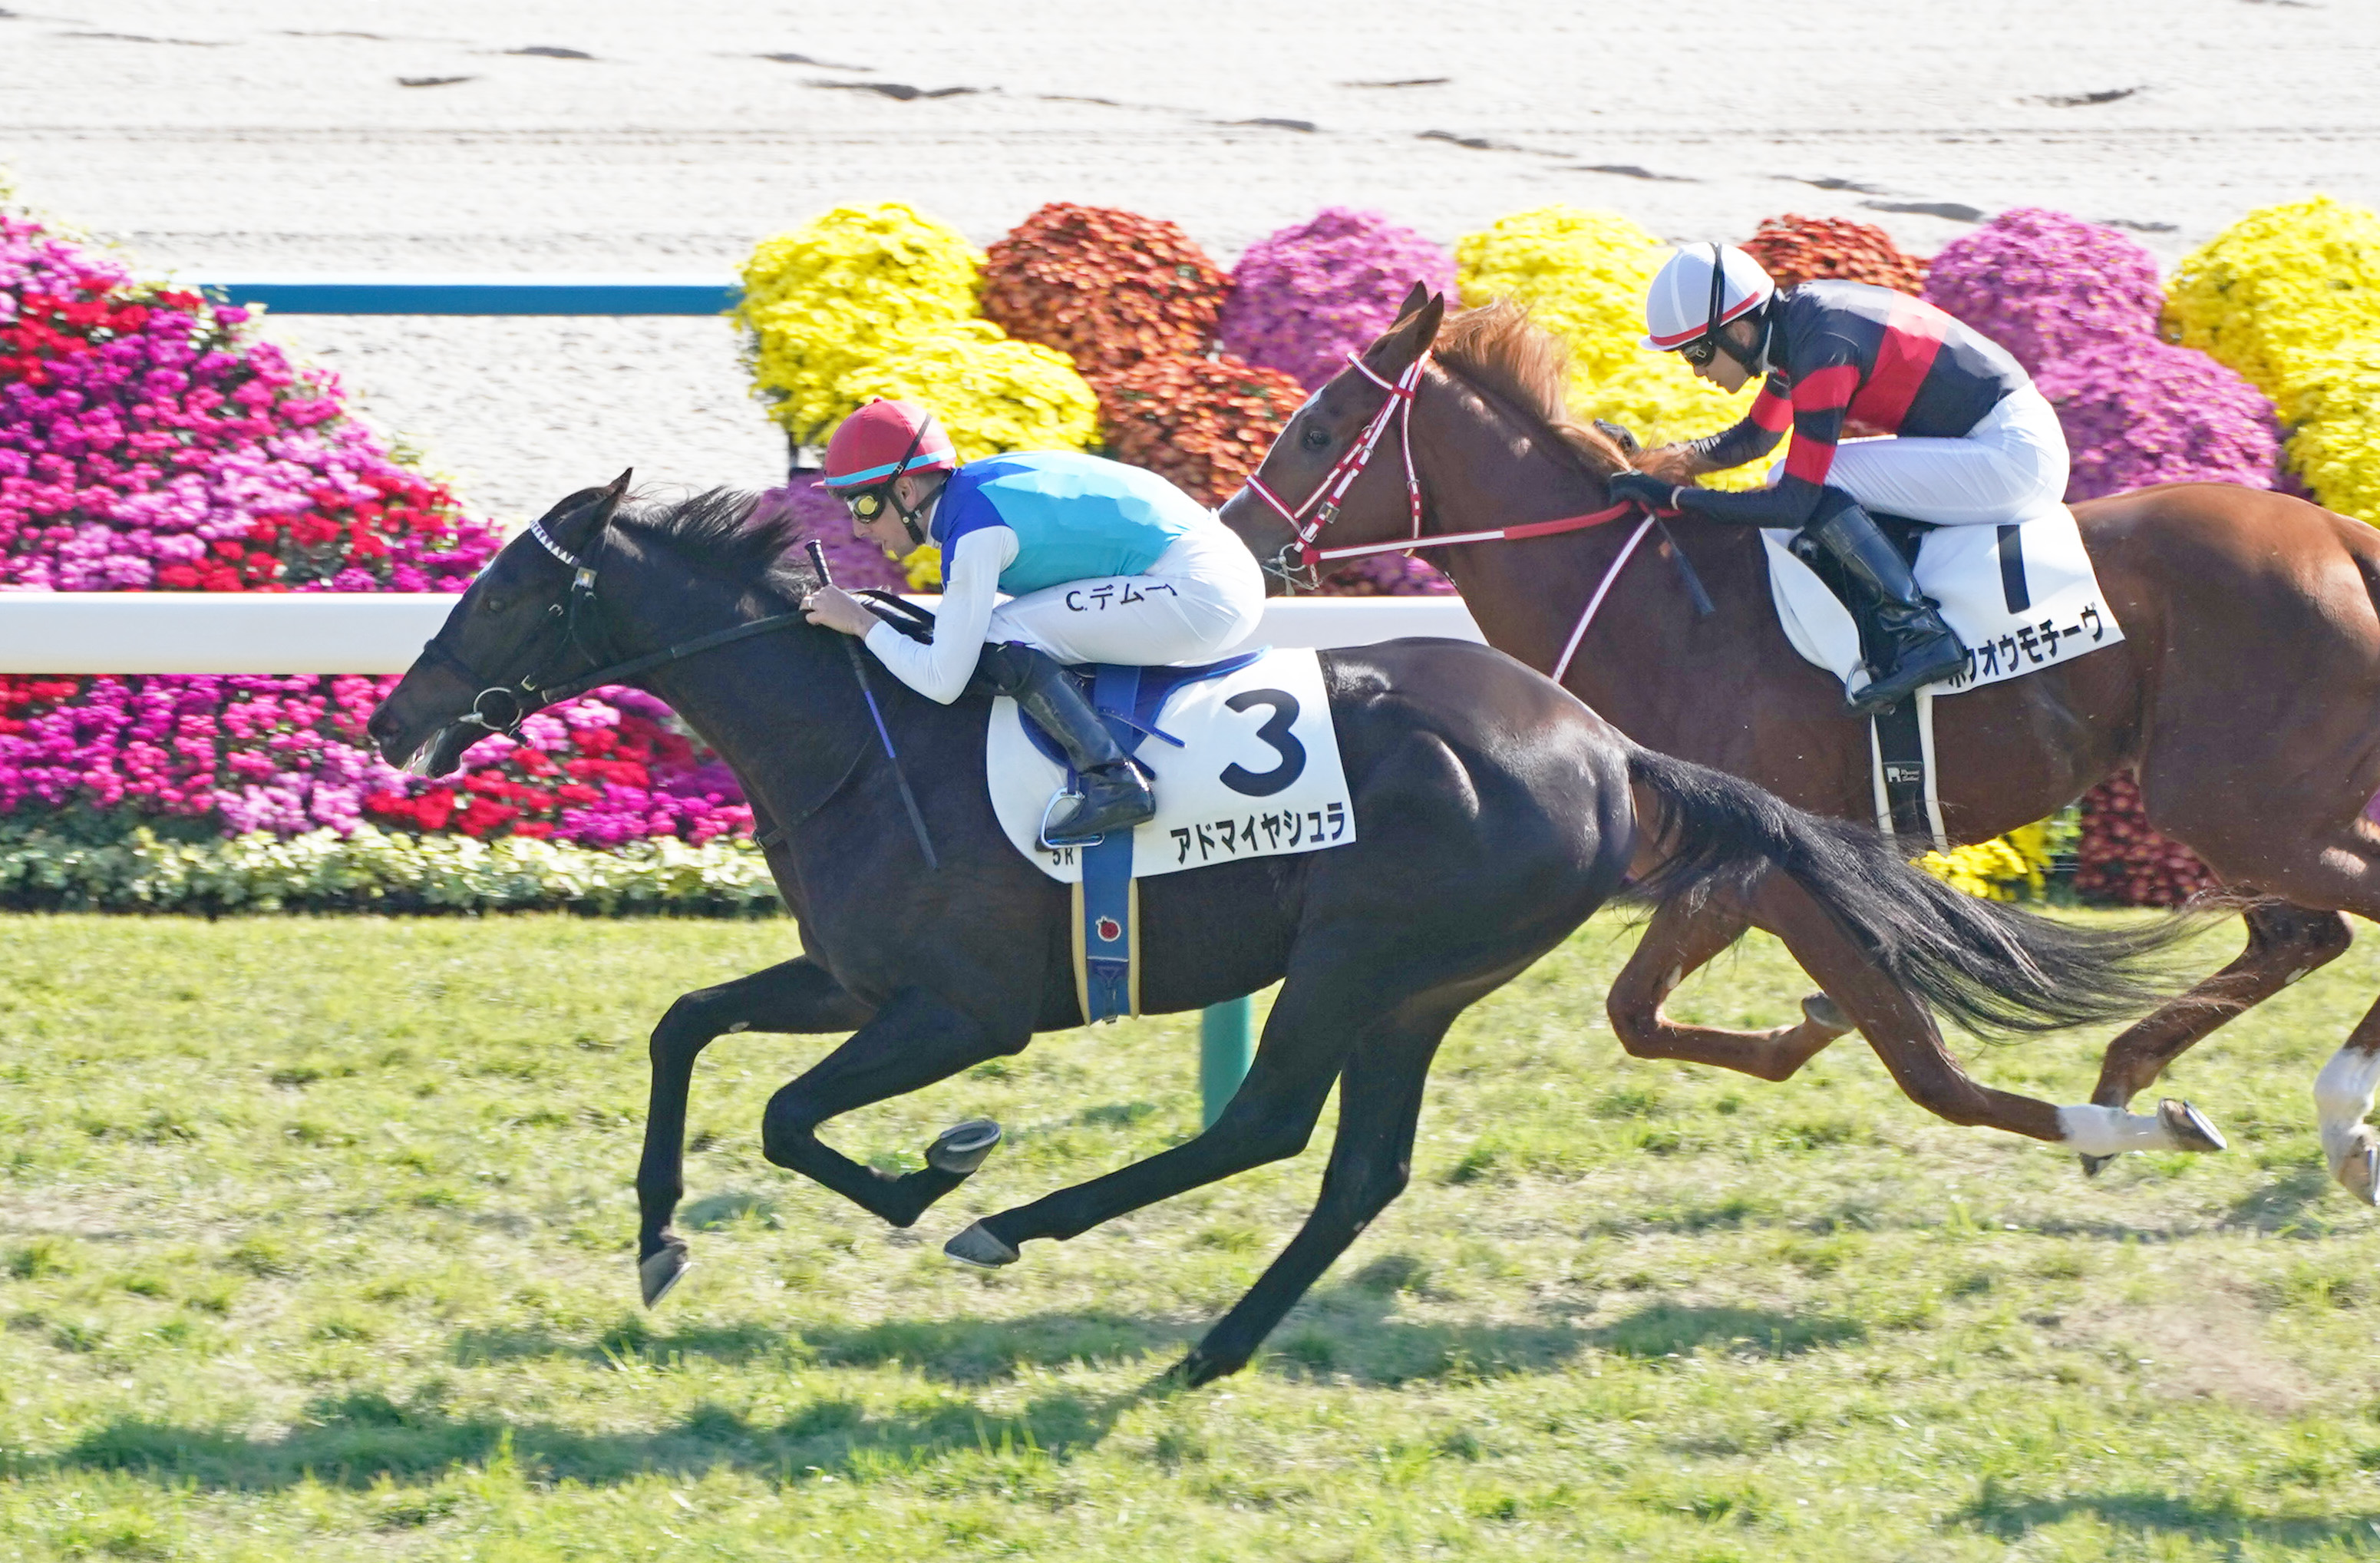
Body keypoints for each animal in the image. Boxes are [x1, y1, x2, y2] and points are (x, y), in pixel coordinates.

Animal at [368, 473, 2209, 1385]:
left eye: (509, 591)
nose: (397, 719)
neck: (857, 738)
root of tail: (1603, 745)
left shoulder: (960, 1008)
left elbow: (789, 1115)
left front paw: (938, 1173)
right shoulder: (847, 975)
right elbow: (687, 1032)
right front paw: (658, 1237)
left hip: (1364, 956)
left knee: (1264, 1123)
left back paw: (1016, 1226)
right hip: (1420, 985)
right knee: (1350, 1170)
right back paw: (1206, 1349)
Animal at [1216, 288, 2380, 1200]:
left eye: (1317, 432)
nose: (1233, 539)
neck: (1653, 609)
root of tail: (2334, 534)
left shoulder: (1754, 862)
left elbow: (1911, 1065)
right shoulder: (1743, 863)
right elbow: (1643, 1016)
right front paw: (1817, 1024)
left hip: (2237, 804)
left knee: (2321, 921)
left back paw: (2325, 1114)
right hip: (2243, 809)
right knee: (2299, 934)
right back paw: (2157, 1076)